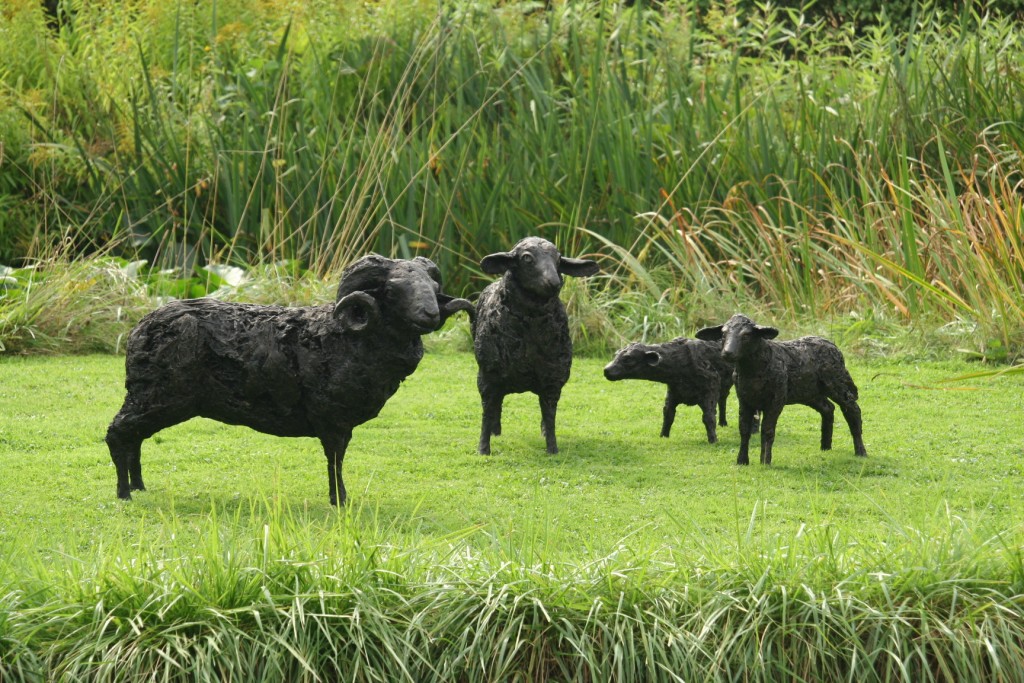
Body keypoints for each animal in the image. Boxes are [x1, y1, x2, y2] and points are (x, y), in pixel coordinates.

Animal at [105, 255, 472, 505]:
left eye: (433, 288)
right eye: (393, 289)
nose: (431, 315)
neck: (342, 338)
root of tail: (140, 329)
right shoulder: (332, 419)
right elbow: (335, 460)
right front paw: (340, 500)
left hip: (156, 400)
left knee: (134, 437)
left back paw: (138, 486)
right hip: (156, 397)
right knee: (118, 432)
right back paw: (124, 493)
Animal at [471, 237, 599, 455]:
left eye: (558, 259)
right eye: (527, 258)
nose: (554, 283)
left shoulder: (553, 378)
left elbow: (550, 415)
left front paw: (552, 448)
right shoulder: (488, 376)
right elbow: (487, 412)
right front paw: (483, 449)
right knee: (497, 404)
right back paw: (496, 431)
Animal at [603, 337, 734, 443]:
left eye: (628, 359)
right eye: (616, 354)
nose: (606, 370)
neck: (680, 362)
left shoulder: (710, 390)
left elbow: (708, 417)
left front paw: (713, 440)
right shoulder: (672, 394)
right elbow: (668, 415)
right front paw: (663, 436)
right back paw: (722, 423)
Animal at [695, 314, 867, 465]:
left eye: (746, 335)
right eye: (723, 334)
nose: (727, 353)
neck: (754, 370)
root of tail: (831, 344)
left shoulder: (776, 400)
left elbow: (767, 430)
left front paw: (765, 461)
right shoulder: (744, 399)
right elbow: (744, 429)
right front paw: (742, 461)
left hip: (837, 383)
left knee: (852, 409)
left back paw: (860, 451)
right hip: (809, 391)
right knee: (828, 408)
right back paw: (825, 447)